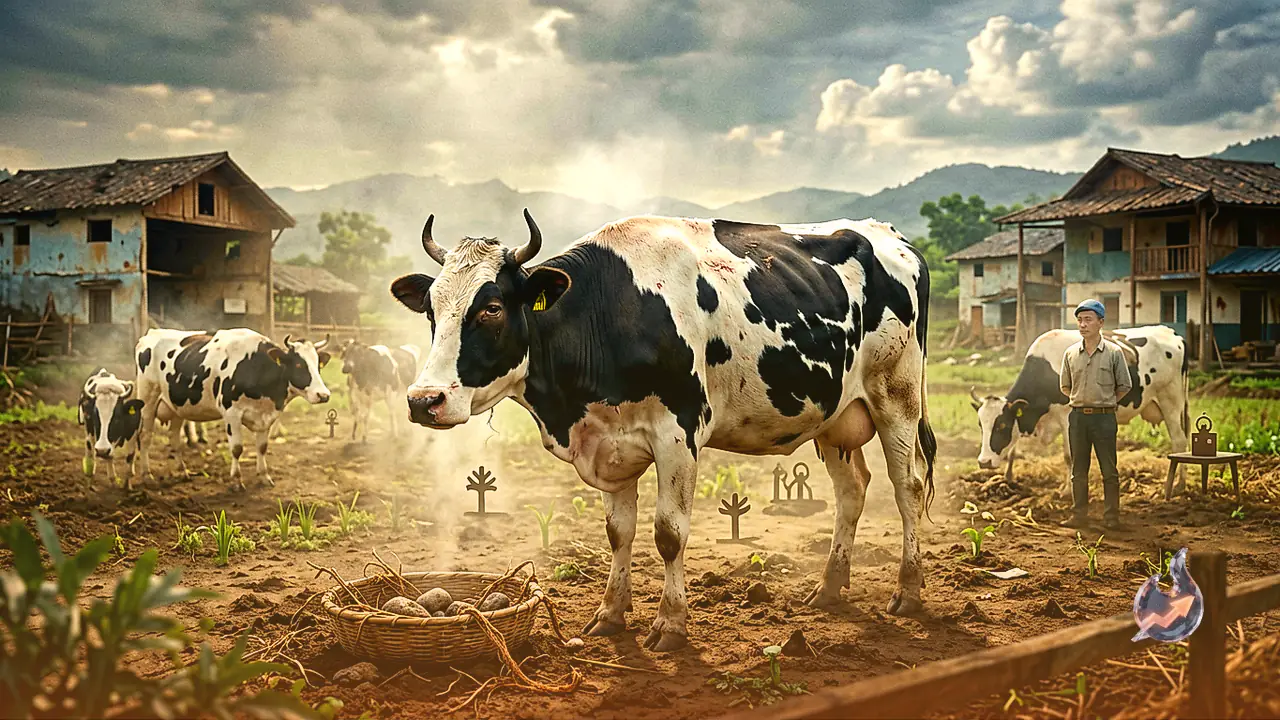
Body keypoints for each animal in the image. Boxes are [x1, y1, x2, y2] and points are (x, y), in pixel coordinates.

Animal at [130, 328, 333, 489]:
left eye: (318, 365)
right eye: (299, 364)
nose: (324, 395)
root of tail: (152, 333)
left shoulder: (265, 416)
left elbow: (262, 447)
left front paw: (264, 477)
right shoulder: (231, 413)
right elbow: (237, 449)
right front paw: (236, 480)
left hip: (176, 406)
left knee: (174, 437)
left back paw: (182, 471)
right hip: (148, 398)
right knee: (145, 437)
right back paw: (147, 475)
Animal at [389, 209, 937, 652]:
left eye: (492, 308)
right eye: (432, 311)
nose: (423, 400)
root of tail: (891, 236)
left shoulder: (678, 435)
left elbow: (669, 534)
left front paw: (671, 625)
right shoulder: (609, 443)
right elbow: (618, 532)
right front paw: (610, 615)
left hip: (897, 395)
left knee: (907, 487)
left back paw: (908, 591)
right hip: (835, 413)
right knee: (852, 491)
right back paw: (828, 588)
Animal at [971, 325, 1189, 493]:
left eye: (1002, 425)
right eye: (981, 426)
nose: (983, 462)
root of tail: (1171, 333)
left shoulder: (1067, 418)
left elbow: (1069, 457)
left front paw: (1068, 491)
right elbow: (1014, 450)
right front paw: (1008, 477)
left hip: (1171, 401)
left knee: (1179, 442)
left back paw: (1179, 485)